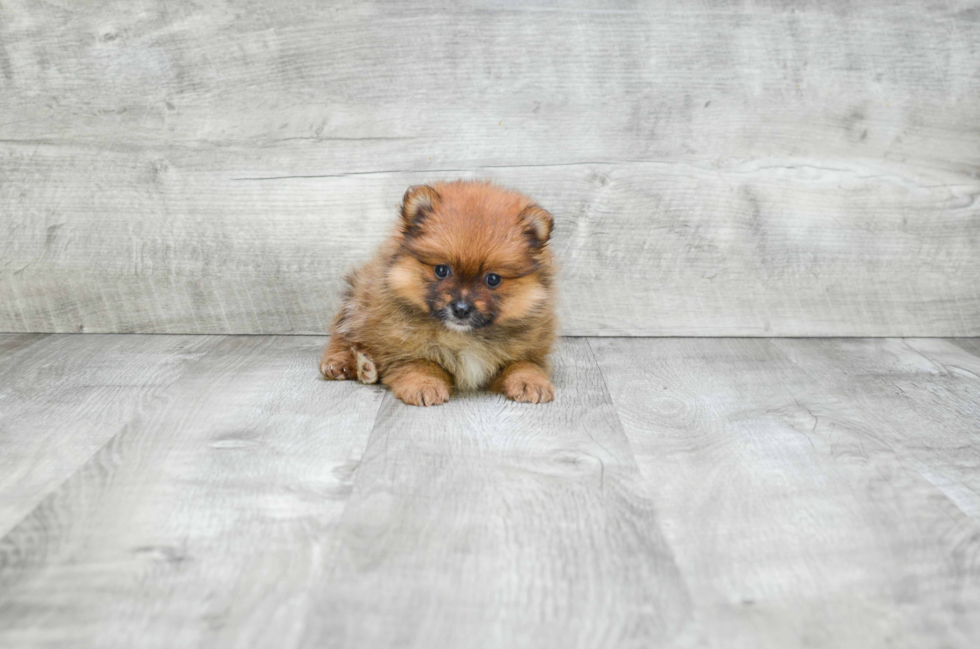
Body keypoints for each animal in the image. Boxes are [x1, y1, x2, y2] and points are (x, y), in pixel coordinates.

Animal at [318, 180, 556, 404]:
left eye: (493, 279)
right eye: (442, 270)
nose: (461, 309)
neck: (462, 335)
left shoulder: (528, 349)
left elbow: (523, 364)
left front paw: (530, 383)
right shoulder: (403, 347)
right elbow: (421, 364)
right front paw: (424, 385)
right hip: (356, 302)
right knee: (342, 335)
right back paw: (347, 363)